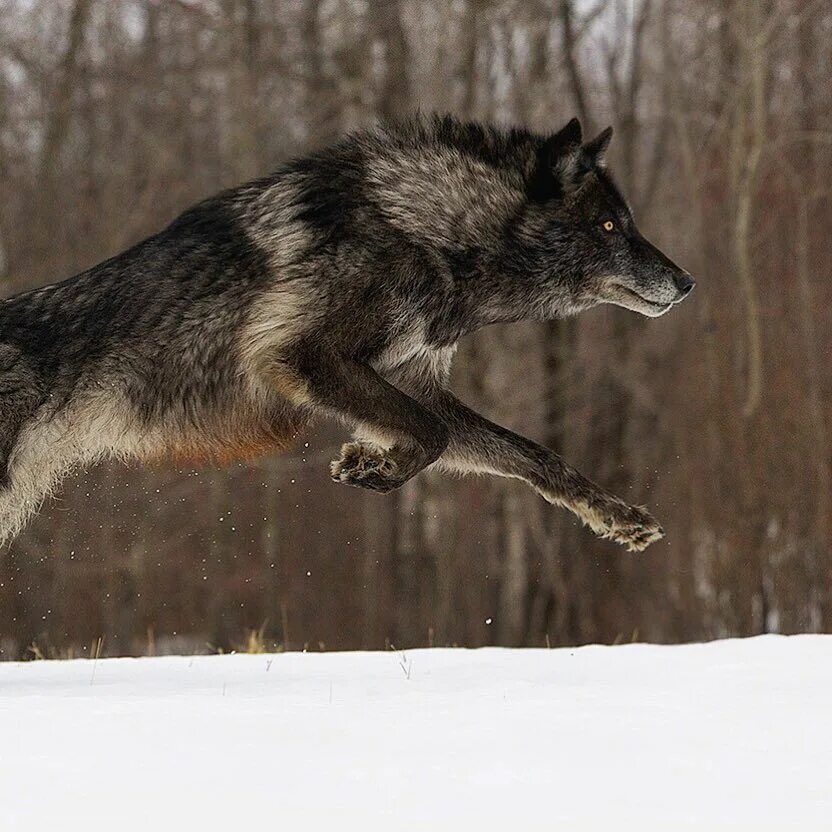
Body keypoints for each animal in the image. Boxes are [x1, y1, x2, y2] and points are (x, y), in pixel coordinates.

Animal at [0, 112, 692, 552]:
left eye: (626, 222)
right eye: (608, 227)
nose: (686, 281)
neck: (424, 230)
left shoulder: (415, 381)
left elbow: (529, 454)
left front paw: (615, 516)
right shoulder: (300, 355)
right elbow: (431, 432)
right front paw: (375, 467)